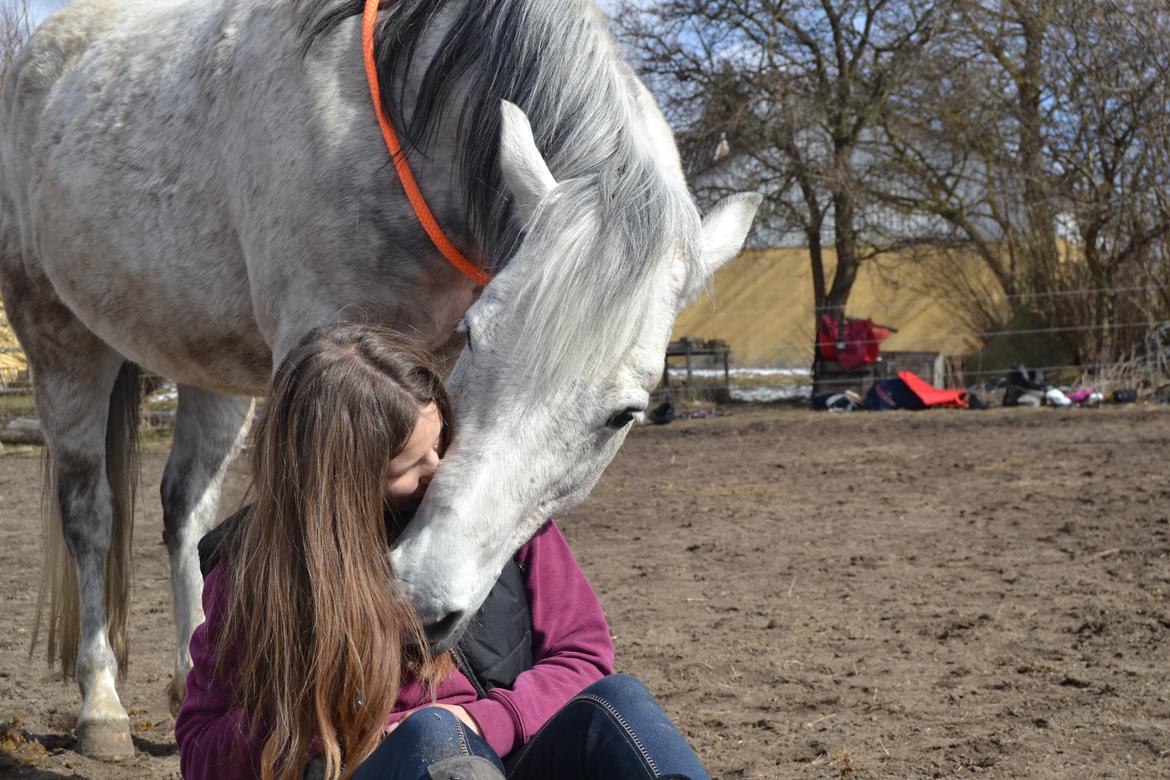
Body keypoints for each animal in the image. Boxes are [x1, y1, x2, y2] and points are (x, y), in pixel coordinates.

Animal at [0, 0, 758, 757]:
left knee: (185, 507)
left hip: (207, 368)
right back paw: (101, 706)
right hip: (62, 342)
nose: (423, 599)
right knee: (89, 515)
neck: (405, 122)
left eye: (624, 414)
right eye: (480, 334)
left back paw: (189, 676)